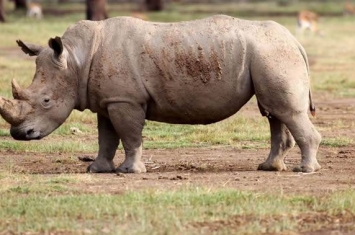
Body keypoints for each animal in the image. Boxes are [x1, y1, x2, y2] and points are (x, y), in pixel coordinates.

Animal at [0, 14, 322, 173]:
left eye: (46, 101)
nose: (19, 134)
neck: (76, 60)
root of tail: (294, 40)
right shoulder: (108, 100)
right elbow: (106, 137)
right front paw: (97, 169)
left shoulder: (126, 100)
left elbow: (129, 136)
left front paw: (130, 171)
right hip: (268, 53)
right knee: (274, 112)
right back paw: (268, 168)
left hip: (273, 53)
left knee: (285, 111)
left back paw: (304, 171)